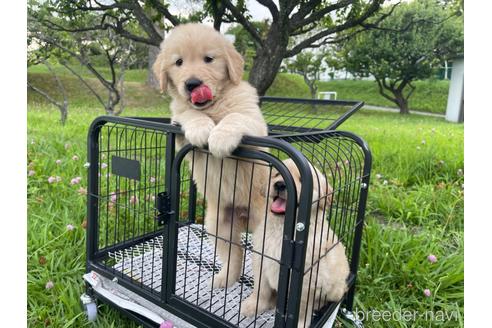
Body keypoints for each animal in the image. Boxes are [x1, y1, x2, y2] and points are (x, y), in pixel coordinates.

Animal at [154, 23, 270, 288]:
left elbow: (235, 117)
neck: (212, 106)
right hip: (218, 226)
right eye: (178, 62)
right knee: (236, 253)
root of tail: (244, 216)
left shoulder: (254, 123)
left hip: (265, 228)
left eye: (209, 59)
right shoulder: (178, 130)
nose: (193, 84)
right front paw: (201, 128)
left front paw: (220, 137)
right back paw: (224, 280)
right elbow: (188, 115)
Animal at [242, 158, 350, 326]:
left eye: (301, 180)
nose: (280, 184)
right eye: (276, 175)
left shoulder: (306, 281)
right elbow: (261, 289)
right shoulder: (261, 261)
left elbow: (302, 309)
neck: (283, 230)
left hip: (335, 287)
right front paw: (253, 305)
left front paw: (300, 324)